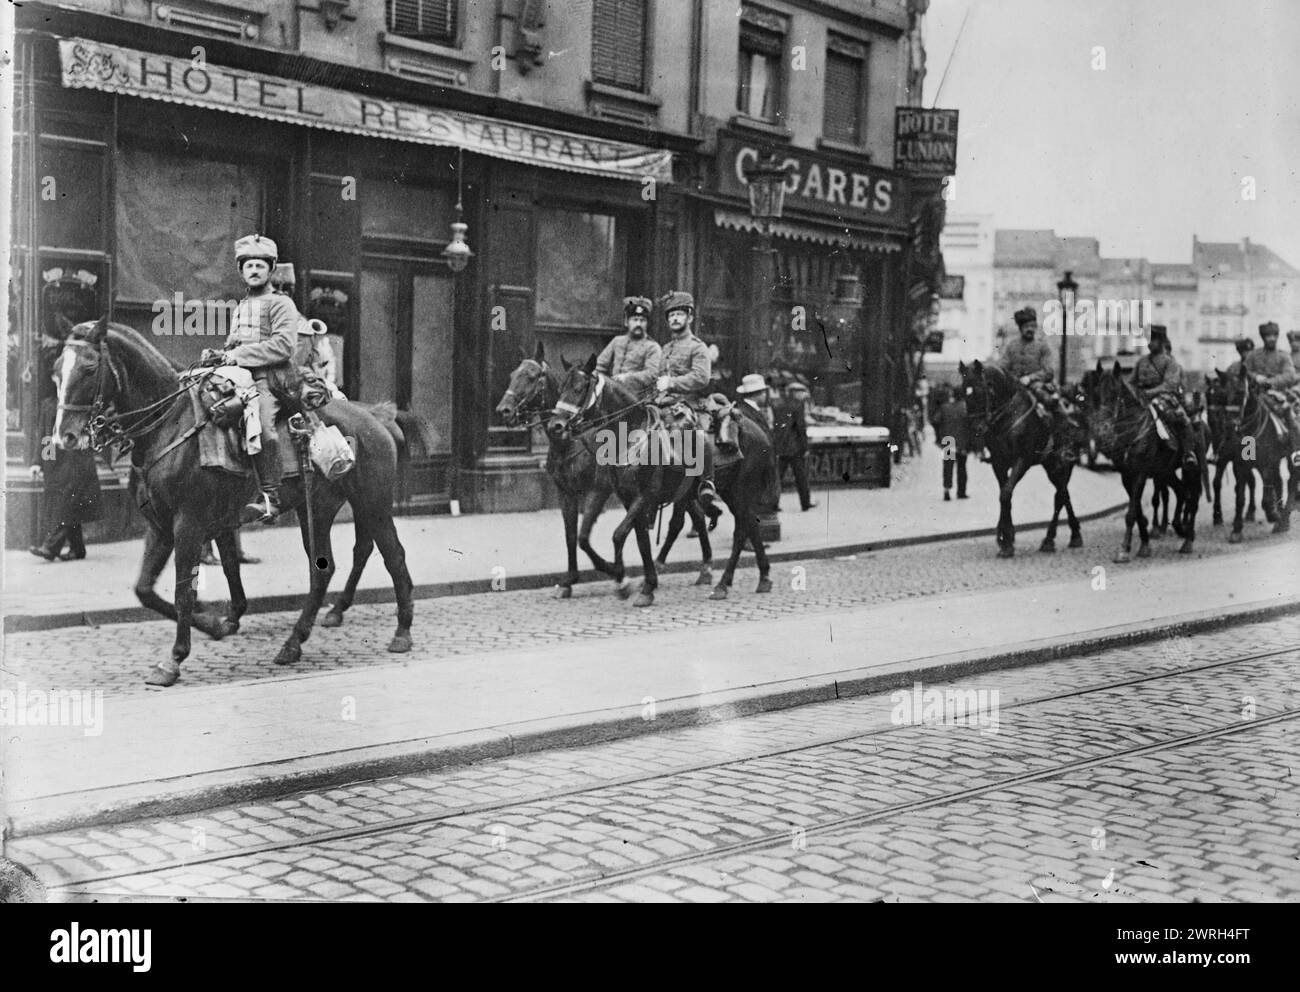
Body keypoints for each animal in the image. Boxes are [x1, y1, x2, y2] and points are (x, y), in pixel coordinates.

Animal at [53, 322, 410, 686]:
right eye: (55, 371)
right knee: (324, 569)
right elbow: (147, 589)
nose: (65, 436)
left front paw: (174, 660)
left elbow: (184, 591)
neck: (170, 426)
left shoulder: (188, 523)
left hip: (373, 504)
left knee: (392, 556)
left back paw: (401, 633)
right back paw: (294, 643)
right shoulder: (161, 525)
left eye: (89, 368)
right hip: (319, 510)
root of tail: (376, 418)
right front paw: (214, 624)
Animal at [491, 340, 717, 598]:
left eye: (530, 376)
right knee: (695, 516)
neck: (572, 442)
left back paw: (701, 569)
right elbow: (571, 535)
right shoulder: (566, 493)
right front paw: (569, 580)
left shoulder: (599, 491)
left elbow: (585, 537)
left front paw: (619, 576)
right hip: (682, 491)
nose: (503, 410)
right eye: (512, 375)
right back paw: (687, 567)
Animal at [548, 356, 769, 605]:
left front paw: (622, 580)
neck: (630, 434)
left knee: (740, 531)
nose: (555, 426)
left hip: (741, 490)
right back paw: (762, 577)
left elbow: (618, 535)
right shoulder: (627, 498)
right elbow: (639, 539)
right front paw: (646, 585)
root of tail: (759, 430)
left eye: (578, 389)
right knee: (749, 524)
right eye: (560, 388)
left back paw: (722, 584)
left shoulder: (644, 495)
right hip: (730, 491)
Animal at [956, 361, 1086, 559]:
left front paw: (1006, 541)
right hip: (1050, 466)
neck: (1009, 415)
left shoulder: (1022, 461)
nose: (977, 428)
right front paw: (1005, 538)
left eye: (981, 391)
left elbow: (1006, 494)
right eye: (964, 392)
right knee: (1064, 495)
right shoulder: (999, 463)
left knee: (1060, 496)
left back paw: (1052, 539)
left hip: (1063, 463)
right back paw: (1071, 535)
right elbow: (1004, 495)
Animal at [1222, 366, 1294, 543]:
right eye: (1224, 393)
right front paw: (1236, 530)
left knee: (1289, 482)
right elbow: (1240, 497)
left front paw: (1273, 514)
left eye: (1241, 391)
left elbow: (1267, 494)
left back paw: (1282, 518)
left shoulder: (1267, 463)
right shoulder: (1240, 466)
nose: (1229, 425)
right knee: (1279, 482)